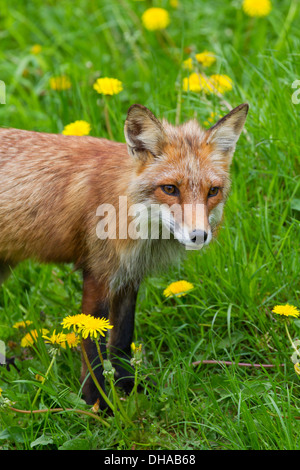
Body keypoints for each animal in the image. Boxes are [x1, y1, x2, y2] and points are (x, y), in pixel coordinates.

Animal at [0, 104, 248, 406]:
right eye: (170, 189)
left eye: (212, 191)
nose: (199, 235)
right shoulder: (98, 274)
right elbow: (93, 349)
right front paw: (97, 403)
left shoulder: (129, 276)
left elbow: (121, 340)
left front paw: (128, 383)